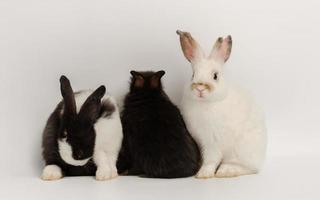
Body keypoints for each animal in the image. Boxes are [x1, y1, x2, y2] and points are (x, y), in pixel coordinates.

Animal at [176, 30, 266, 179]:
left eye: (215, 76)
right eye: (193, 75)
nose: (200, 88)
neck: (206, 103)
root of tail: (261, 159)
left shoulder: (212, 143)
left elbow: (210, 160)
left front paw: (203, 174)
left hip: (241, 152)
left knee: (246, 168)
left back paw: (226, 171)